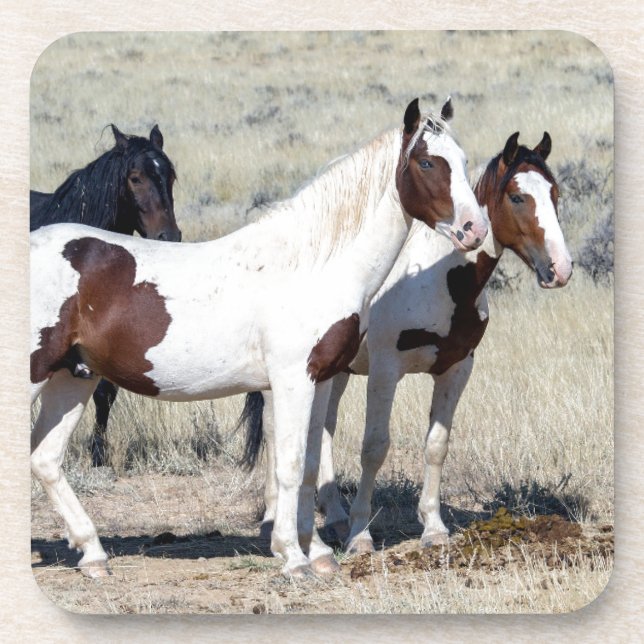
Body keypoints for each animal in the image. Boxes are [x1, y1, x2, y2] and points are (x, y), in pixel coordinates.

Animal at [246, 131, 572, 553]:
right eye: (517, 197)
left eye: (555, 193)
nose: (560, 269)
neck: (439, 280)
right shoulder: (386, 371)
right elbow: (374, 448)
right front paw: (361, 534)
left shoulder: (457, 368)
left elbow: (436, 445)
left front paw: (433, 527)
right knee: (275, 432)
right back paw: (275, 518)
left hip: (335, 372)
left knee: (324, 429)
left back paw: (332, 515)